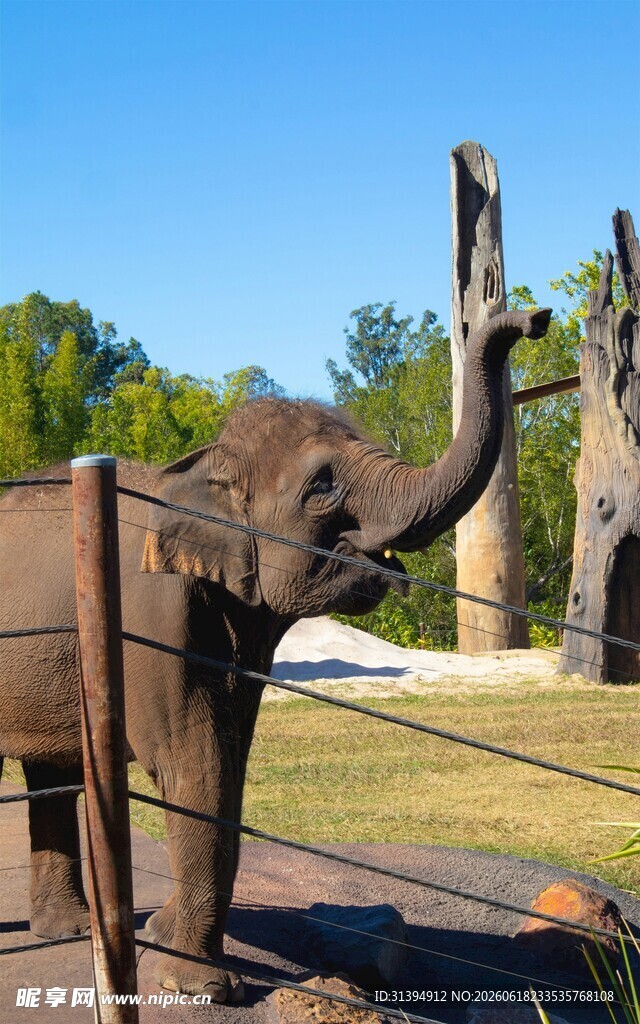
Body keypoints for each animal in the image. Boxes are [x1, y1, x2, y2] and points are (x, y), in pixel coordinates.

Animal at [0, 308, 550, 1000]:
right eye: (322, 487)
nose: (535, 318)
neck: (198, 471)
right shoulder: (150, 617)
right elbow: (191, 764)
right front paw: (203, 987)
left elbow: (230, 760)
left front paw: (164, 938)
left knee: (51, 772)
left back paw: (64, 932)